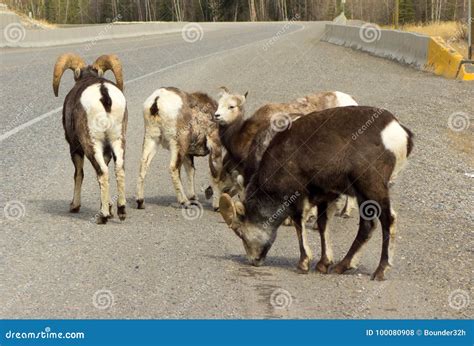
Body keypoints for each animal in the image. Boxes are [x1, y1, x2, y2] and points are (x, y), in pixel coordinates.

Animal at [53, 52, 128, 224]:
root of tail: (104, 93)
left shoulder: (74, 148)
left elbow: (79, 174)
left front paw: (74, 206)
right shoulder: (106, 150)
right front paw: (109, 208)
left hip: (91, 143)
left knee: (102, 172)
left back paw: (102, 217)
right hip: (118, 140)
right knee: (118, 170)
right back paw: (121, 211)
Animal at [220, 106, 412, 282]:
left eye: (240, 232)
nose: (254, 261)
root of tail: (398, 132)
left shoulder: (297, 197)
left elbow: (299, 224)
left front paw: (303, 264)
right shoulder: (325, 196)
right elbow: (322, 224)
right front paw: (323, 264)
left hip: (371, 187)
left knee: (388, 219)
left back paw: (380, 271)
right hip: (363, 195)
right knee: (368, 225)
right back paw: (341, 266)